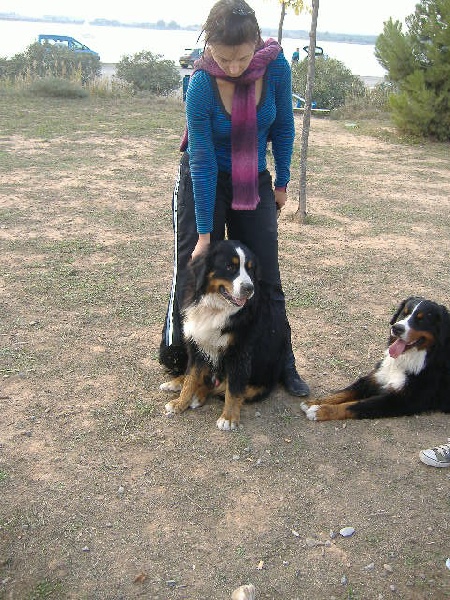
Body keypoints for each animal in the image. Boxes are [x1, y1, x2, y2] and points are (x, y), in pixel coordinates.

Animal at [162, 240, 288, 430]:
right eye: (230, 266)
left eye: (250, 269)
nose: (249, 288)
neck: (215, 308)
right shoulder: (197, 345)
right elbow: (191, 378)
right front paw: (179, 403)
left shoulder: (239, 353)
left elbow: (233, 389)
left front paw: (228, 418)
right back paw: (176, 382)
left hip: (259, 384)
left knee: (219, 387)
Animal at [302, 296, 450, 421]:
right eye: (404, 313)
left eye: (421, 319)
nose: (396, 328)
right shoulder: (376, 377)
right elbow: (343, 393)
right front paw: (313, 402)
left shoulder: (402, 400)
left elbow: (356, 405)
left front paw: (320, 411)